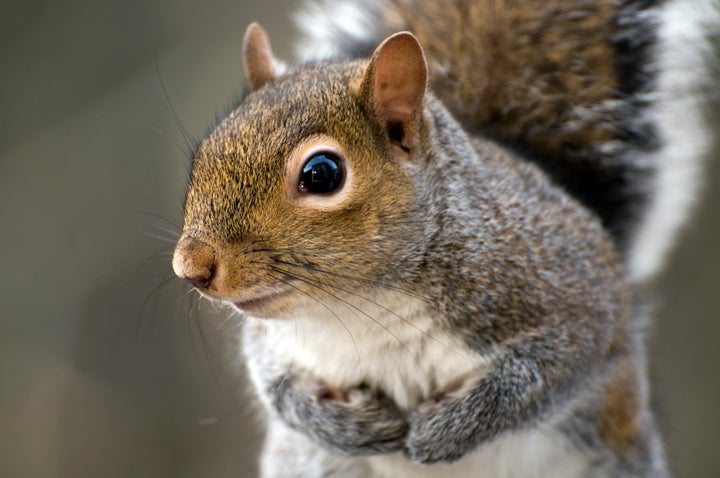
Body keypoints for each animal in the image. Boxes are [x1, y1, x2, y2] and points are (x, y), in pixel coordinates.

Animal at [172, 0, 716, 478]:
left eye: (321, 174)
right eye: (203, 156)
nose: (191, 268)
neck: (360, 308)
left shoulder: (573, 288)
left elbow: (553, 366)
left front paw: (452, 427)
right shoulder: (272, 339)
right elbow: (273, 382)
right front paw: (344, 425)